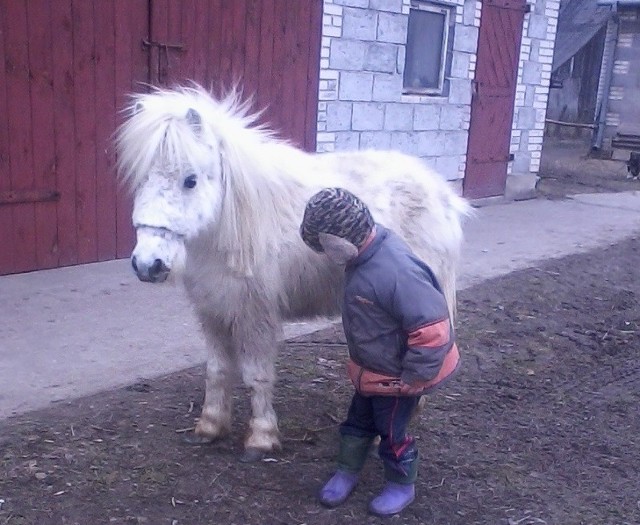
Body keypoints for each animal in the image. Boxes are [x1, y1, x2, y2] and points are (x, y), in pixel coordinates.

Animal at [116, 85, 470, 458]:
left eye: (190, 180)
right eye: (141, 179)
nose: (147, 264)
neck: (233, 224)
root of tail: (444, 195)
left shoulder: (254, 317)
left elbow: (256, 376)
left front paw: (261, 438)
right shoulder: (213, 312)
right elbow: (216, 371)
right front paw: (210, 426)